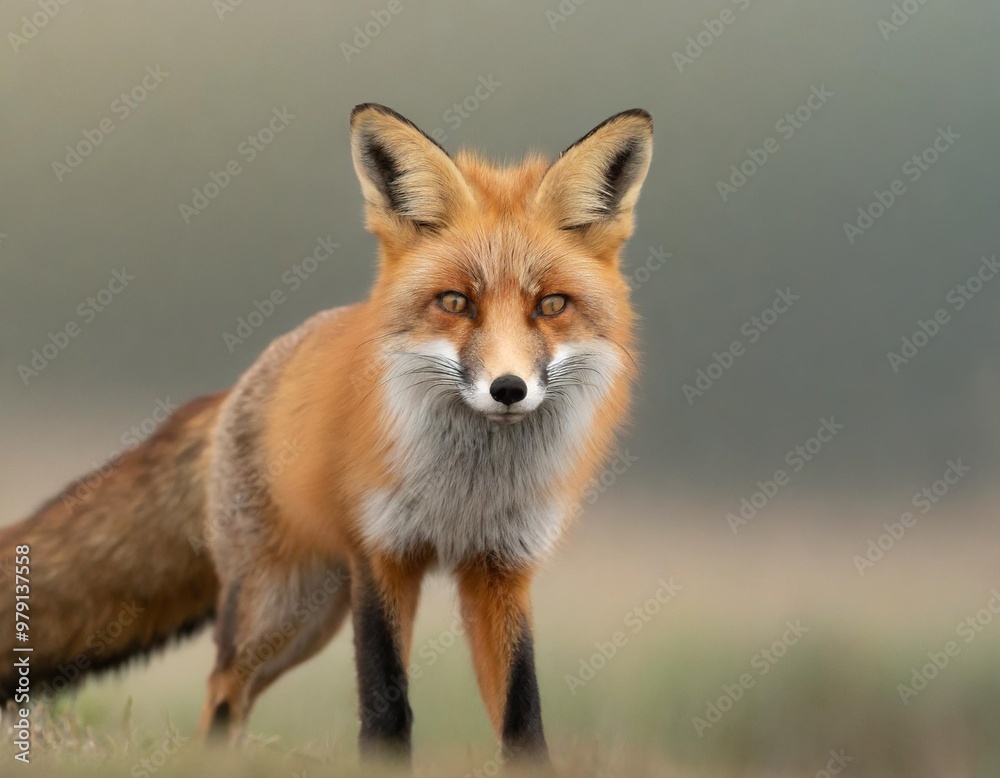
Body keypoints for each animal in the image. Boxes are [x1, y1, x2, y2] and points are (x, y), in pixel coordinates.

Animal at [0, 103, 652, 766]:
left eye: (551, 306)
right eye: (455, 303)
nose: (508, 388)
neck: (465, 491)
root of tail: (240, 385)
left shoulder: (501, 567)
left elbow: (523, 715)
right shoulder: (382, 552)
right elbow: (386, 707)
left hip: (313, 616)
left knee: (235, 696)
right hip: (279, 611)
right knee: (222, 688)